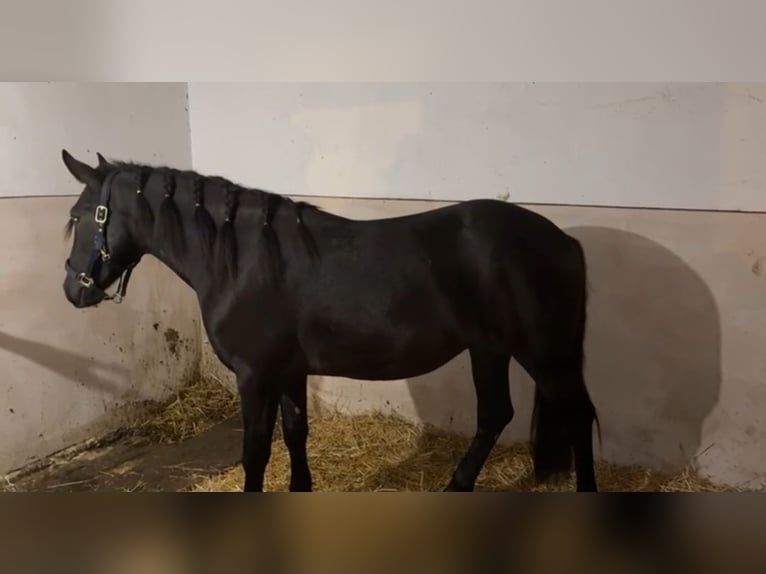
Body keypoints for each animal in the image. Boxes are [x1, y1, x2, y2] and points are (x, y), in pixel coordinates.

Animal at [60, 149, 600, 492]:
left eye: (83, 214)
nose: (72, 289)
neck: (244, 261)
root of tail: (565, 242)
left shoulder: (254, 375)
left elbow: (256, 450)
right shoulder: (289, 371)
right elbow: (296, 433)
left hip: (542, 354)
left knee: (574, 416)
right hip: (491, 349)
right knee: (497, 416)